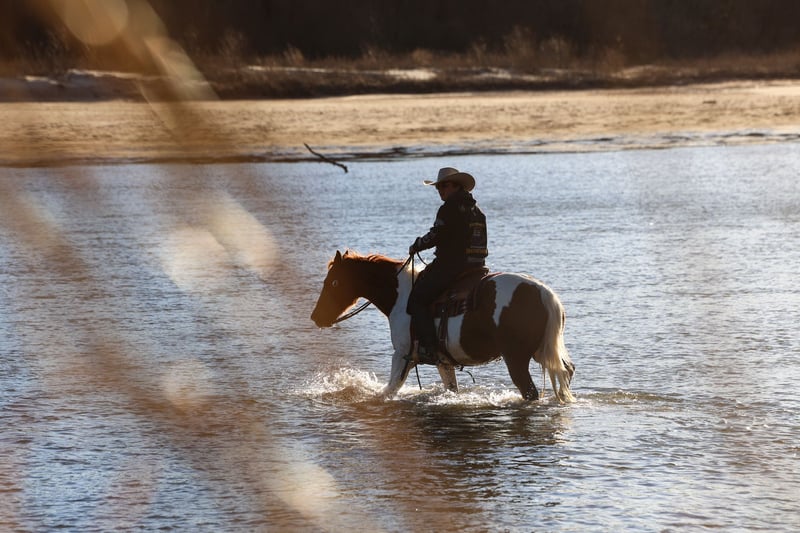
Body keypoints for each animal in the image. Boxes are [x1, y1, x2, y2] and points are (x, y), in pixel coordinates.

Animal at [310, 250, 575, 402]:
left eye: (333, 282)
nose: (316, 317)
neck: (403, 296)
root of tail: (543, 292)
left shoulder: (402, 355)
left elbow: (389, 390)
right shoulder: (442, 361)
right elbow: (450, 387)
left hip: (516, 358)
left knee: (529, 390)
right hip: (540, 351)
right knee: (566, 372)